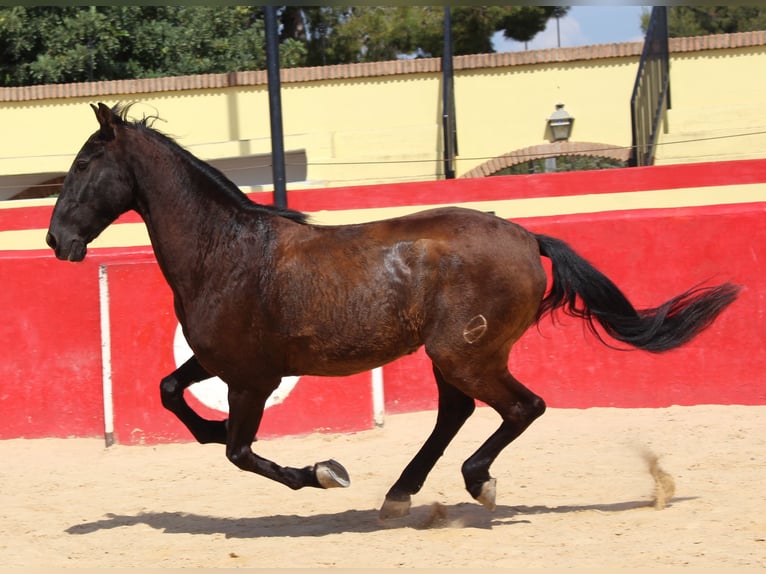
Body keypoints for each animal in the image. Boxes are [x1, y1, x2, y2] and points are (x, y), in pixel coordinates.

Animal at [46, 103, 740, 519]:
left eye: (82, 163)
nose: (57, 240)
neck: (226, 251)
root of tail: (526, 235)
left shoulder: (251, 378)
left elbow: (240, 452)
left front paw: (326, 471)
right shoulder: (221, 361)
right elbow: (172, 394)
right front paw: (222, 434)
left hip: (466, 353)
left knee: (522, 406)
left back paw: (474, 483)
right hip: (454, 355)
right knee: (460, 412)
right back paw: (401, 495)